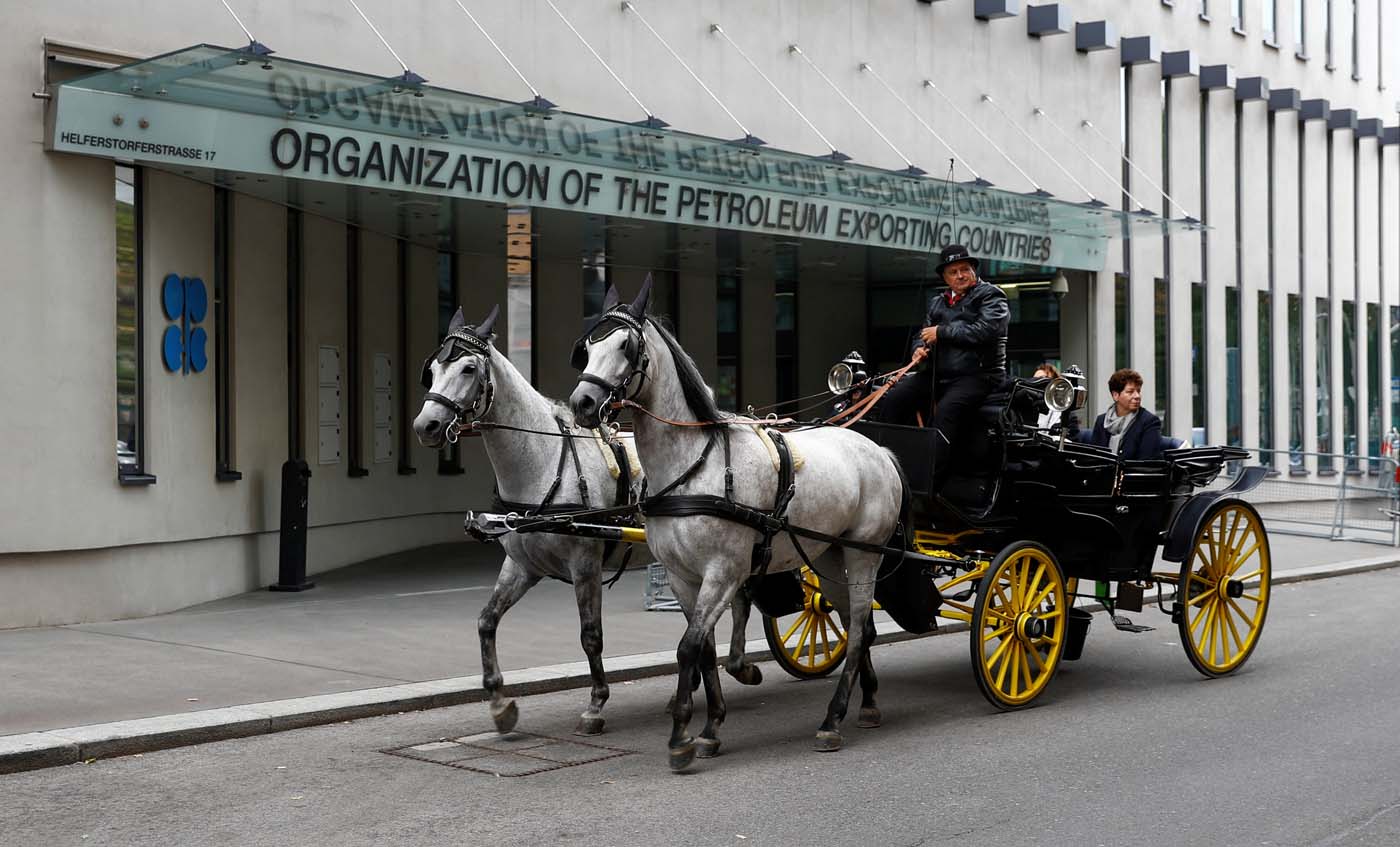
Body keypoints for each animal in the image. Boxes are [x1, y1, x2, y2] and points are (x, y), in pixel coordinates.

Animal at [411, 306, 761, 739]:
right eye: (432, 370)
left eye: (468, 368)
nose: (425, 426)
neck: (542, 461)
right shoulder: (522, 565)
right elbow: (486, 621)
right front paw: (499, 703)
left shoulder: (585, 564)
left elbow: (590, 636)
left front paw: (596, 704)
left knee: (739, 600)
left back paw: (737, 668)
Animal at [568, 281, 907, 767]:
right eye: (588, 348)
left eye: (626, 346)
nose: (582, 403)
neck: (694, 463)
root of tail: (879, 450)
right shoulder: (683, 577)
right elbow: (704, 649)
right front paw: (710, 727)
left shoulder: (723, 572)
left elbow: (689, 647)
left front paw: (682, 735)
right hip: (829, 557)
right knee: (857, 624)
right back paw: (870, 702)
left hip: (864, 555)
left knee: (860, 630)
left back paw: (832, 720)